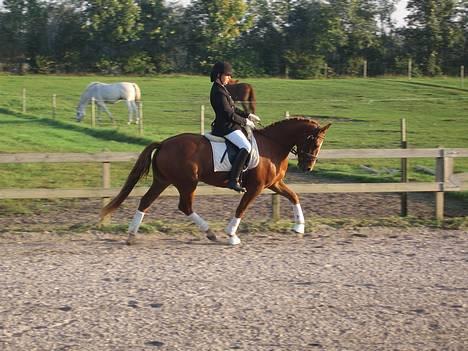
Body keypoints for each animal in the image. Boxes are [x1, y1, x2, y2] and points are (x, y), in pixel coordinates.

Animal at [100, 117, 330, 246]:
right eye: (315, 142)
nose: (307, 168)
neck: (272, 145)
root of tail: (164, 143)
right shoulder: (255, 187)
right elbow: (241, 209)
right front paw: (231, 235)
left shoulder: (273, 184)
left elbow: (294, 196)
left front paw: (299, 227)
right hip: (187, 183)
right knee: (185, 206)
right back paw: (210, 233)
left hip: (162, 181)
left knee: (146, 202)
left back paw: (131, 236)